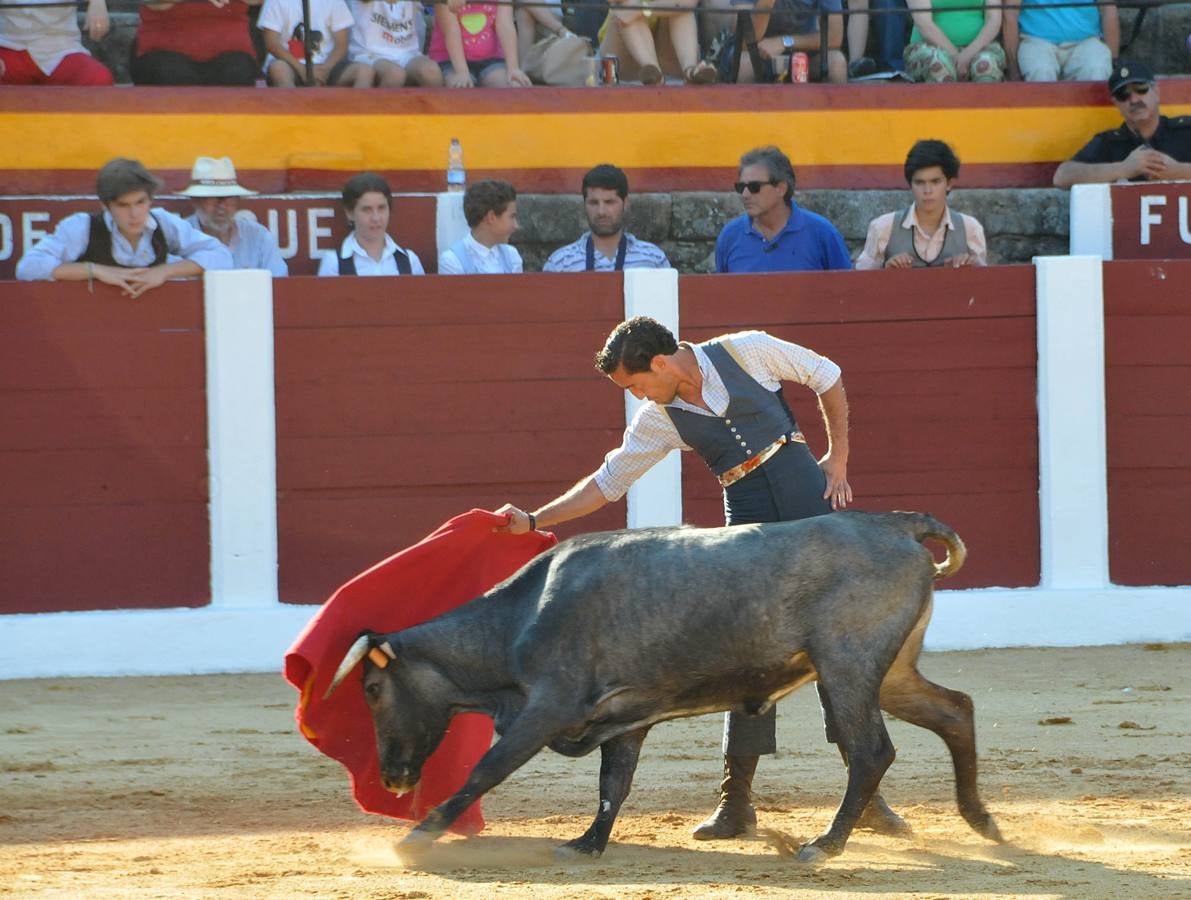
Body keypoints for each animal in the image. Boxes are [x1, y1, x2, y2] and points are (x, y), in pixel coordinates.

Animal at [328, 509, 1005, 861]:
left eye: (371, 690)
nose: (392, 779)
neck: (520, 616)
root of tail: (895, 526)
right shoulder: (626, 718)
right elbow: (614, 784)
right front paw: (587, 844)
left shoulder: (546, 708)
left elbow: (484, 770)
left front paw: (419, 833)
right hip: (890, 672)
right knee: (954, 711)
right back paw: (982, 821)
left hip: (847, 665)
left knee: (869, 749)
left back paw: (827, 842)